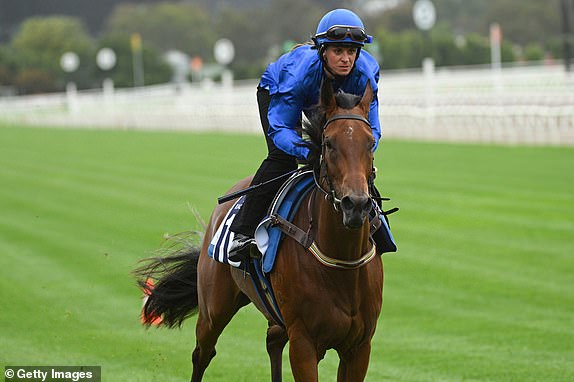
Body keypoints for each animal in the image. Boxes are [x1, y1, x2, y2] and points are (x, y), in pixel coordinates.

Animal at [136, 78, 384, 382]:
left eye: (370, 142)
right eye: (328, 143)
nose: (356, 204)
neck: (341, 261)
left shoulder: (359, 346)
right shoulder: (304, 342)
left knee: (272, 341)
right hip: (213, 309)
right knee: (202, 354)